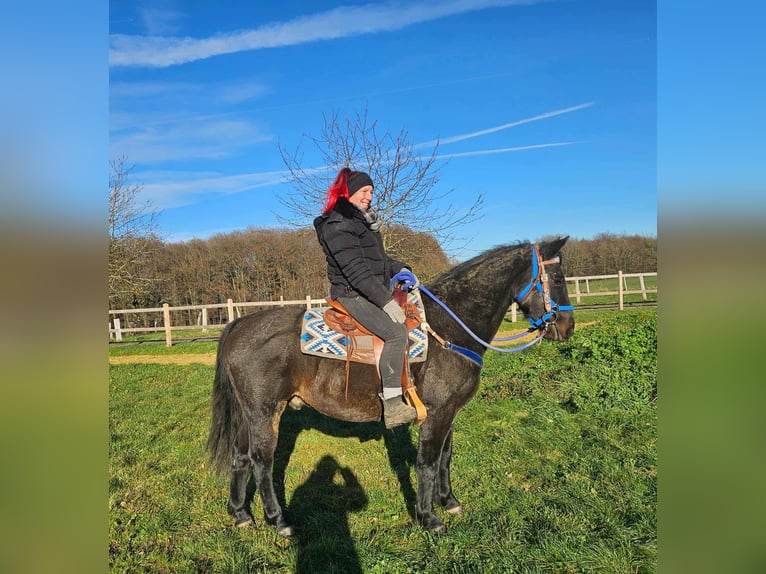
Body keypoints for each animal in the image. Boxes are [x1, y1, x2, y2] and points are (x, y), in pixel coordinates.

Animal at [207, 236, 575, 535]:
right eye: (557, 278)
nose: (567, 327)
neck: (448, 328)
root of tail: (238, 324)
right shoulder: (437, 414)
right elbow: (427, 462)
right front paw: (428, 517)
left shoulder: (450, 412)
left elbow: (446, 458)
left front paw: (449, 501)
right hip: (265, 412)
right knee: (261, 461)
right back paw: (278, 520)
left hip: (249, 414)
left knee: (241, 457)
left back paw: (241, 514)